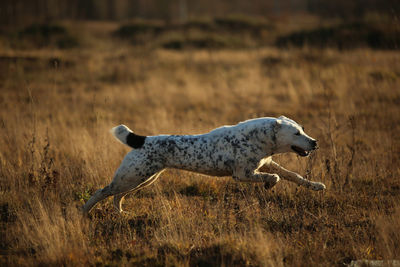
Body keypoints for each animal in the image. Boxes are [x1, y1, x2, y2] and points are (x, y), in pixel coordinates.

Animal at [83, 116, 326, 215]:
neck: (259, 138)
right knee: (102, 191)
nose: (315, 142)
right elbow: (274, 178)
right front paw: (269, 185)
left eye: (302, 129)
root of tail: (141, 139)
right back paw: (84, 211)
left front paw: (316, 185)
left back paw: (121, 213)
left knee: (117, 196)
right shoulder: (243, 174)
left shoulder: (267, 164)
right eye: (296, 133)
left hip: (143, 179)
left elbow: (293, 175)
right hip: (131, 177)